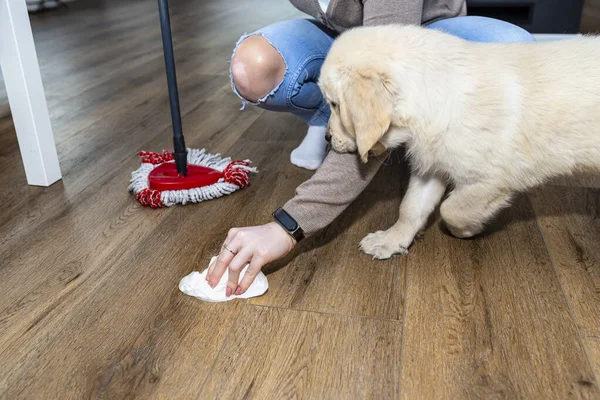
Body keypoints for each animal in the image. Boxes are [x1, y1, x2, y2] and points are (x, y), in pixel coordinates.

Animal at [322, 25, 600, 260]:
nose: (326, 137)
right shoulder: (431, 166)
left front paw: (466, 230)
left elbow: (451, 209)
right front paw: (391, 240)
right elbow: (410, 207)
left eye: (335, 104)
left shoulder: (490, 180)